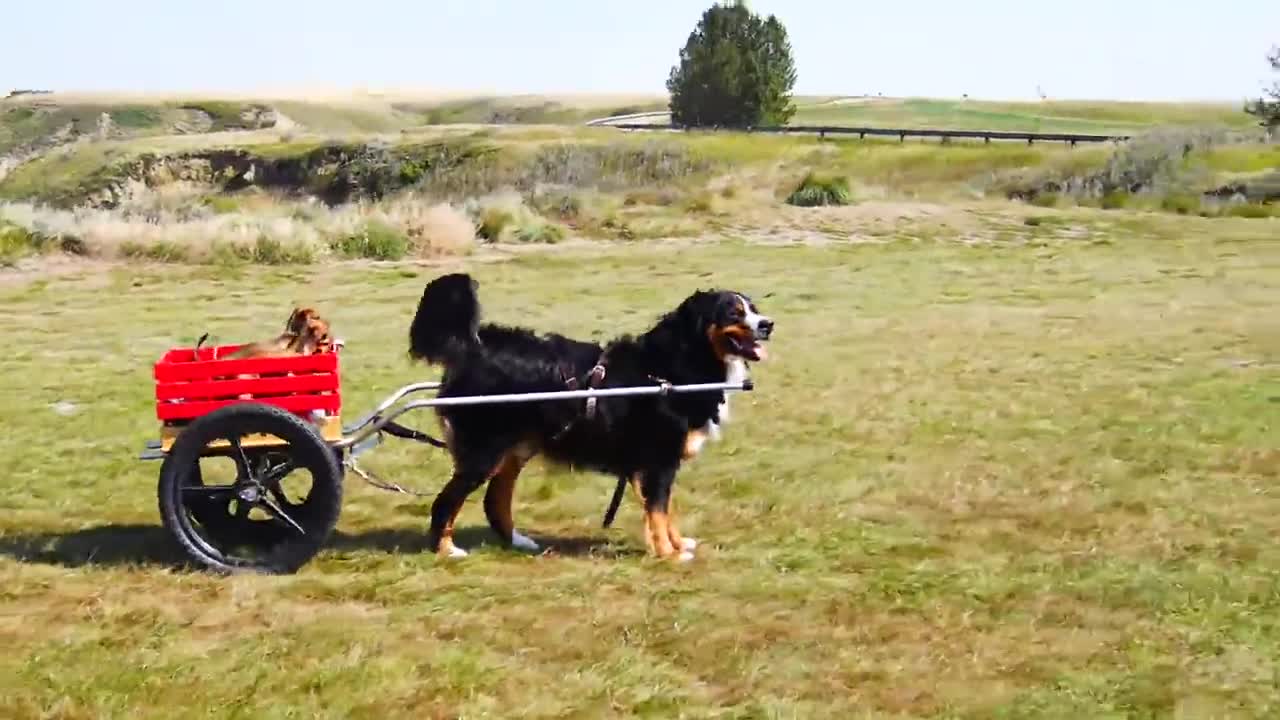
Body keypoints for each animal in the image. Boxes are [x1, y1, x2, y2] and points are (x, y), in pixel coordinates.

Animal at [409, 271, 768, 558]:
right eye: (733, 312)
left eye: (753, 309)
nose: (768, 325)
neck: (671, 366)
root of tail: (475, 346)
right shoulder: (658, 460)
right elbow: (658, 512)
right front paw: (670, 554)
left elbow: (664, 512)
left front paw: (677, 544)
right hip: (485, 451)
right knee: (446, 501)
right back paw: (447, 550)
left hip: (517, 448)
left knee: (495, 500)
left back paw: (518, 541)